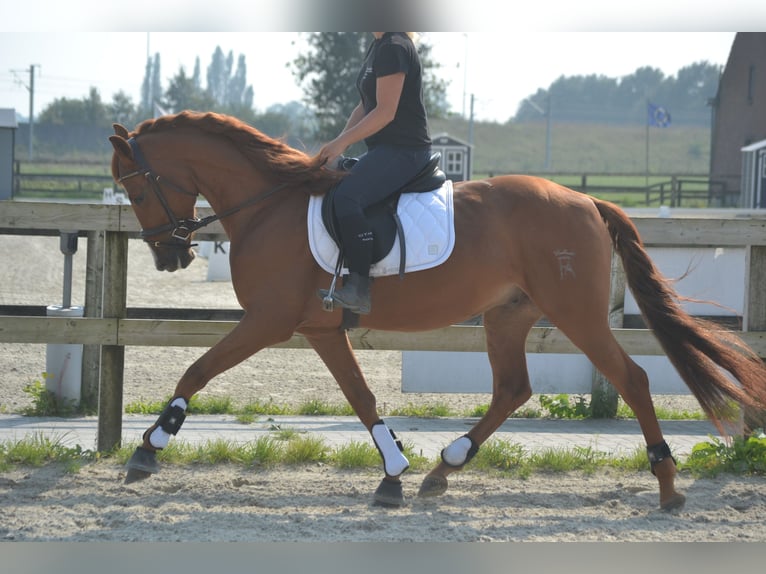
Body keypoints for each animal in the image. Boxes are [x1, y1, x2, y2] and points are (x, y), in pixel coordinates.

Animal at [109, 110, 766, 510]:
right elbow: (361, 398)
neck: (267, 205)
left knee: (630, 378)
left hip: (573, 313)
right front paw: (393, 472)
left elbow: (197, 369)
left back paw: (667, 486)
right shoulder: (319, 328)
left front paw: (149, 446)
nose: (169, 256)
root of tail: (584, 199)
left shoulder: (268, 321)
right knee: (513, 390)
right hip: (507, 316)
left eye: (136, 187)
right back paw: (444, 468)